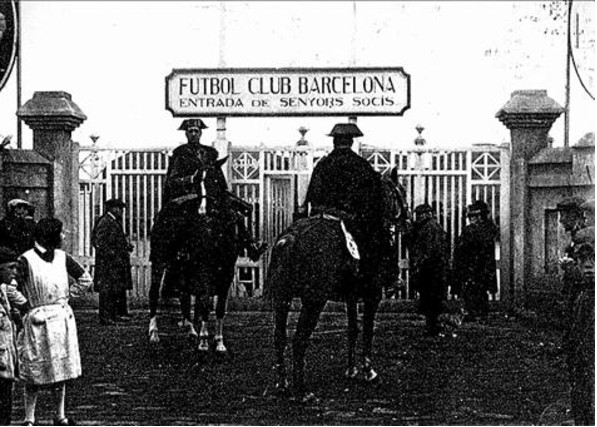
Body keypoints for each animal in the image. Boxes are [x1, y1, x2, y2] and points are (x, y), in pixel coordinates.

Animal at [147, 159, 242, 352]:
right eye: (197, 183)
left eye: (215, 180)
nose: (203, 211)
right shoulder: (203, 268)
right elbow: (204, 301)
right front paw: (204, 341)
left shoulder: (227, 271)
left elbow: (219, 307)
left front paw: (219, 342)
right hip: (160, 261)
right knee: (154, 293)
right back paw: (154, 333)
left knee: (183, 295)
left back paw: (191, 331)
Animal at [266, 172, 410, 400]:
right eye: (399, 192)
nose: (408, 218)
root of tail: (290, 238)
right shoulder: (372, 296)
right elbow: (367, 330)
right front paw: (368, 371)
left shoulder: (351, 297)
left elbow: (352, 329)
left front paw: (351, 370)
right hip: (314, 301)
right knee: (299, 339)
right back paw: (301, 391)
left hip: (283, 298)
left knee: (280, 337)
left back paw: (283, 384)